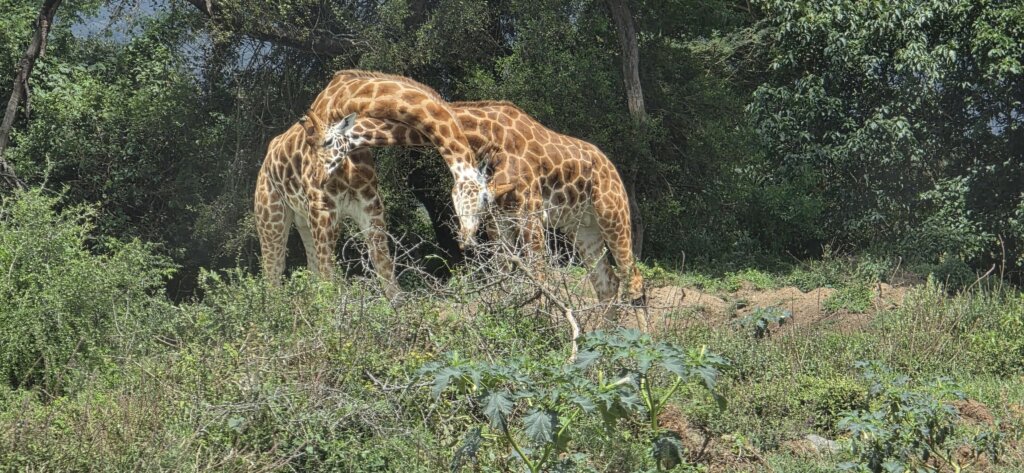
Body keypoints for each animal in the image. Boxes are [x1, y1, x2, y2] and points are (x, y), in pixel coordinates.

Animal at [254, 121, 399, 297]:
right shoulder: (323, 212)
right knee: (274, 270)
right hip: (272, 219)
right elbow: (328, 277)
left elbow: (385, 267)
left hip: (308, 222)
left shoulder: (370, 207)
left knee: (312, 267)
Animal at [317, 101, 646, 307]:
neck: (487, 136)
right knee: (607, 283)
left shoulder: (529, 211)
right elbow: (504, 279)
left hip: (612, 214)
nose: (319, 176)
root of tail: (611, 167)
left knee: (633, 279)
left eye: (326, 142)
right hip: (582, 226)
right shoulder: (499, 219)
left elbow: (541, 281)